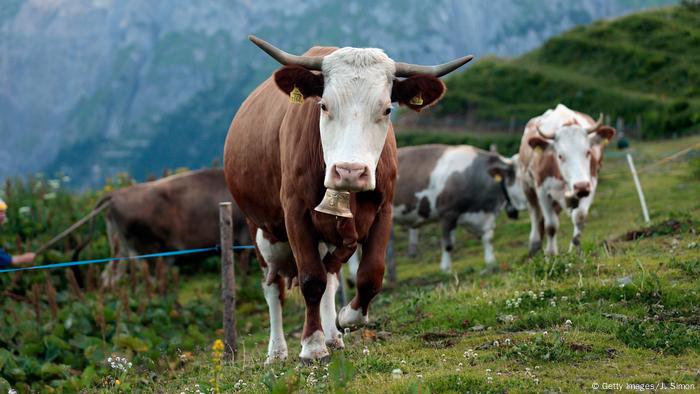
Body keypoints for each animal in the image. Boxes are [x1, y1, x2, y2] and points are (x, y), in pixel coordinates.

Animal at [226, 37, 476, 364]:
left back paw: (333, 335)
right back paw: (277, 351)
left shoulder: (383, 211)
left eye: (387, 109)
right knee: (274, 287)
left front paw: (346, 318)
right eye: (323, 105)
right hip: (261, 230)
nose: (349, 171)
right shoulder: (295, 213)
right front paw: (312, 345)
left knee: (330, 276)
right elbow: (311, 280)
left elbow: (370, 275)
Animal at [348, 143, 528, 278]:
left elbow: (488, 239)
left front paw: (491, 261)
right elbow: (448, 244)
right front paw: (446, 269)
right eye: (522, 178)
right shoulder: (448, 213)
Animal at [520, 103, 612, 255]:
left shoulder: (591, 183)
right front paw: (551, 254)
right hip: (526, 185)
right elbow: (551, 225)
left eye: (588, 152)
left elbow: (579, 217)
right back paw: (534, 245)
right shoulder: (541, 189)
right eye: (560, 156)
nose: (581, 186)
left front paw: (574, 250)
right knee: (535, 213)